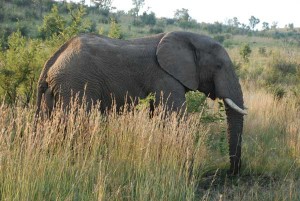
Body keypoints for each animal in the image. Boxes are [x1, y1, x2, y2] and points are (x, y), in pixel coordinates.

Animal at [35, 31, 246, 174]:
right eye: (218, 66)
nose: (231, 173)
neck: (187, 36)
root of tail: (50, 64)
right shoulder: (165, 77)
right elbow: (176, 119)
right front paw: (186, 170)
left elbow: (160, 118)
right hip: (76, 86)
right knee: (79, 125)